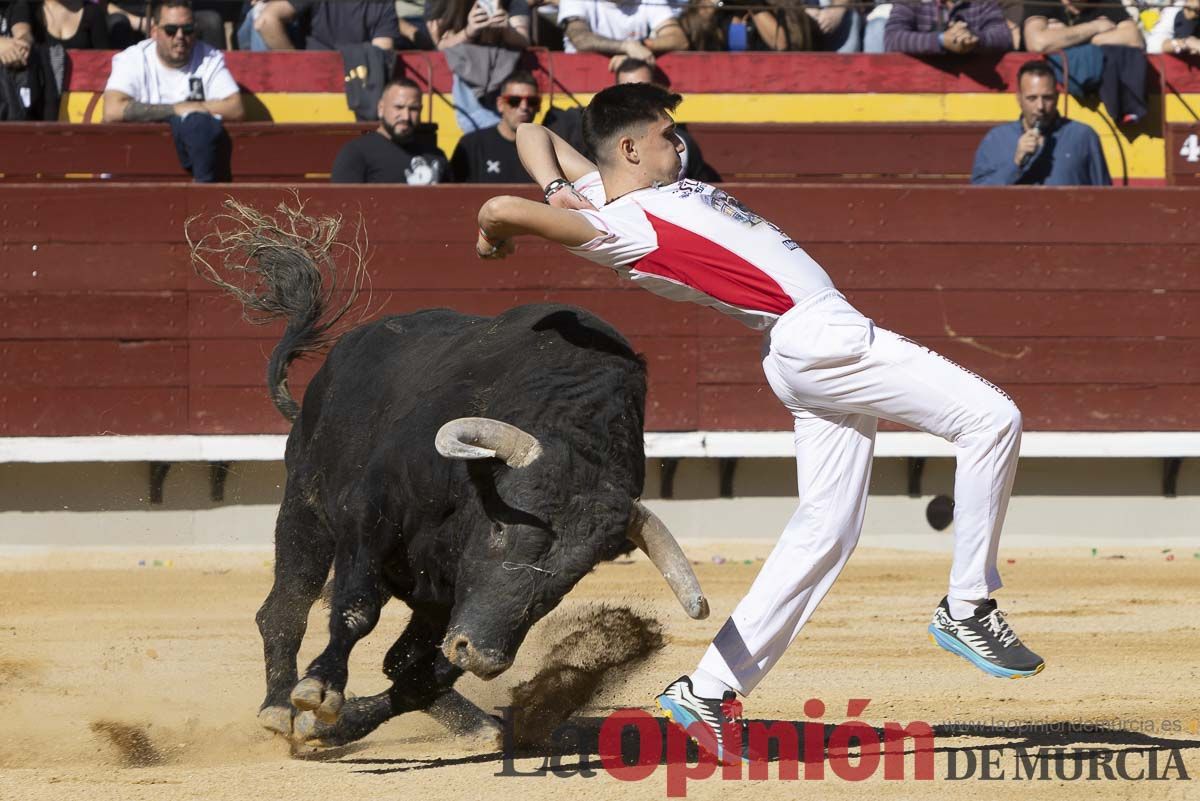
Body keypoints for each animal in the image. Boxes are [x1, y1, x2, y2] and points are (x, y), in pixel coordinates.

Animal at [192, 201, 705, 753]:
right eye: (500, 530)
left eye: (572, 576)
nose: (483, 656)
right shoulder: (370, 515)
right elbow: (356, 610)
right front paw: (319, 691)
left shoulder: (450, 605)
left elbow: (423, 674)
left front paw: (336, 724)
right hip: (305, 508)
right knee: (286, 607)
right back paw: (277, 706)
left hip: (428, 595)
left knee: (403, 661)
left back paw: (467, 722)